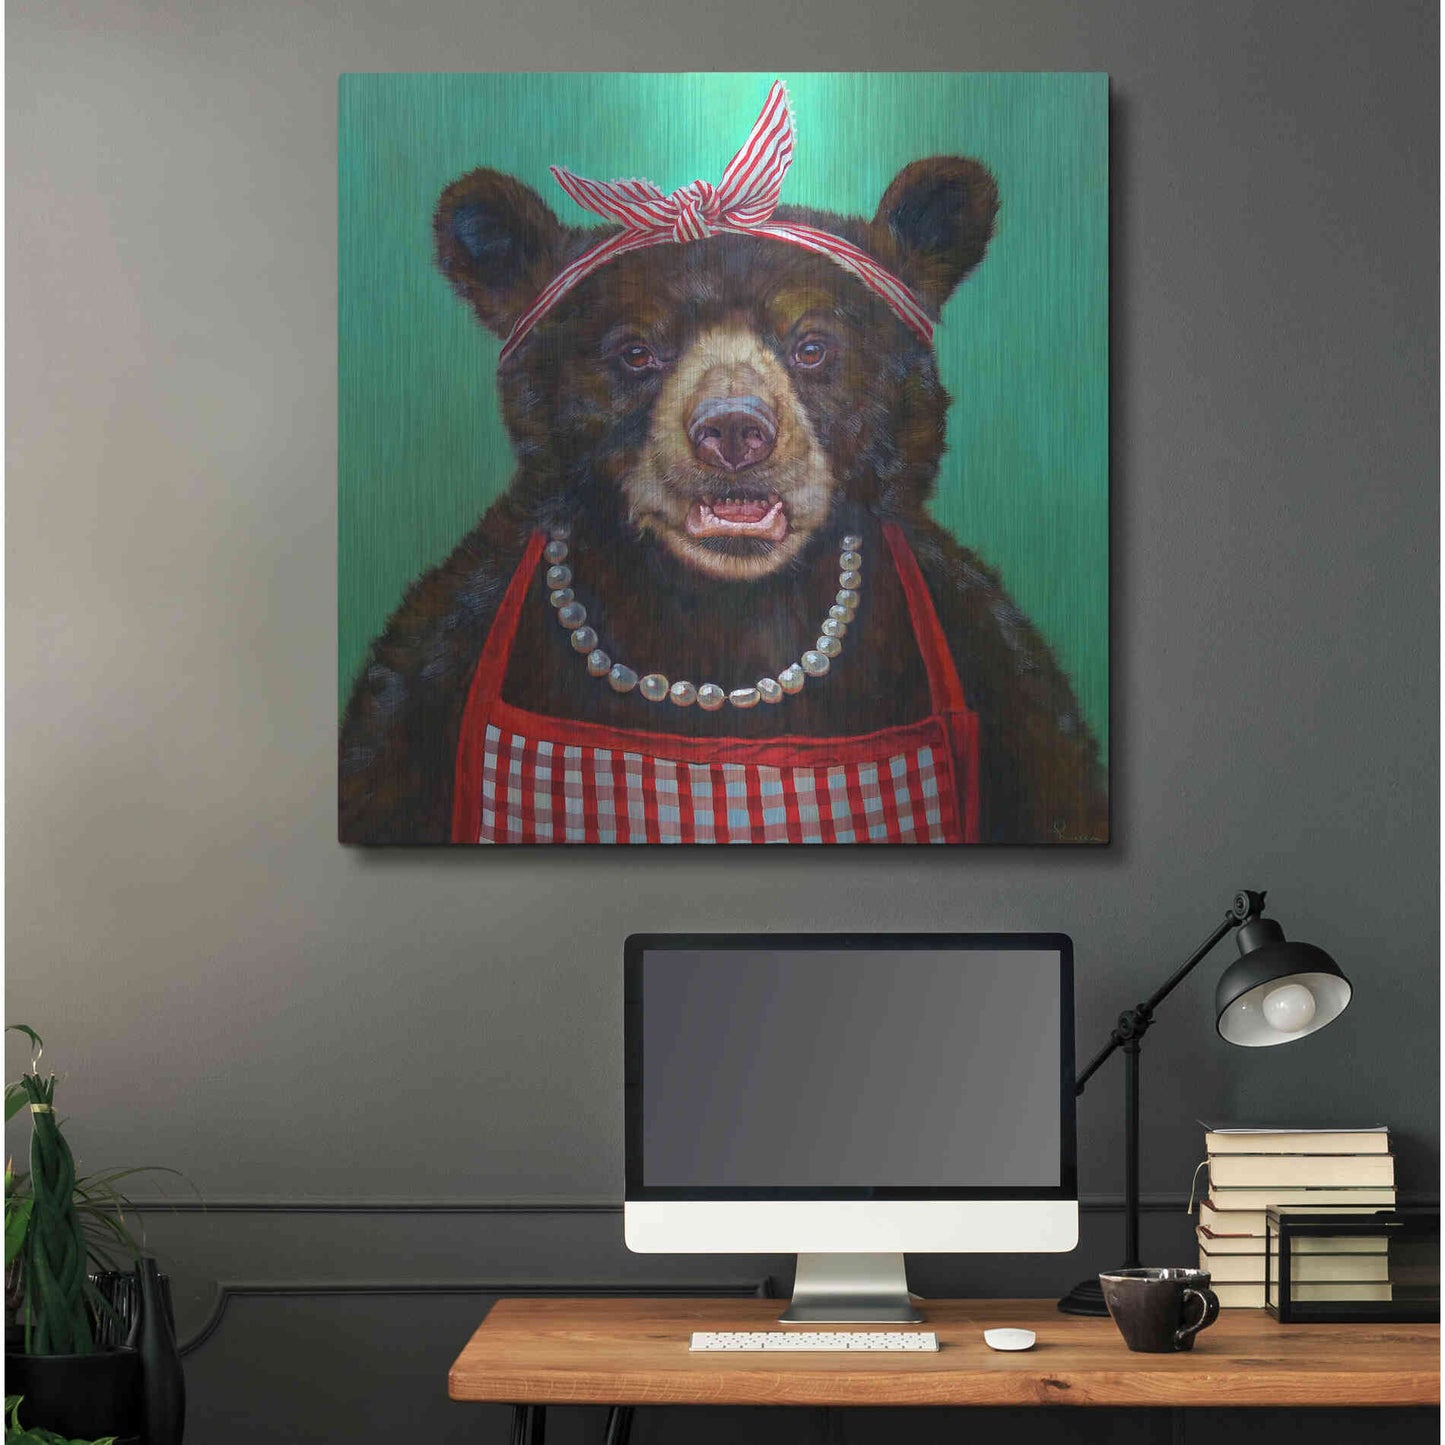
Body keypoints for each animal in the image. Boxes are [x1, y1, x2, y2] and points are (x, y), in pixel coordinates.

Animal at [339, 97, 1107, 845]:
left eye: (812, 346)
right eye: (636, 351)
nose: (735, 431)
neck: (724, 615)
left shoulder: (998, 674)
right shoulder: (427, 679)